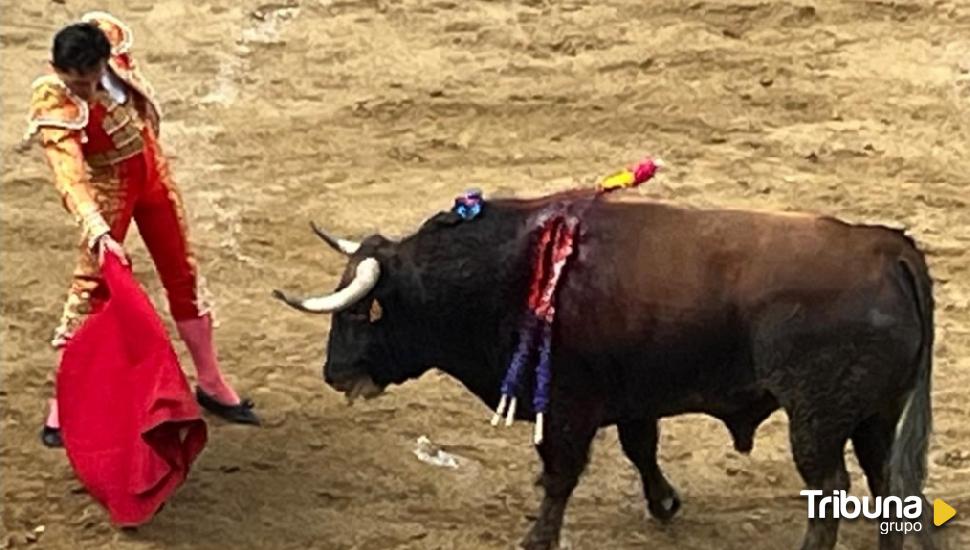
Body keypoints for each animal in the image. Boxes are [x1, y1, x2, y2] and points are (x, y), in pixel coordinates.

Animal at [270, 194, 932, 550]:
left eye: (360, 312)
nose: (334, 374)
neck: (505, 272)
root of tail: (887, 247)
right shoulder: (634, 396)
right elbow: (641, 448)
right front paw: (665, 503)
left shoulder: (566, 406)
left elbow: (561, 474)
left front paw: (537, 537)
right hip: (874, 415)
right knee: (883, 480)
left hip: (816, 420)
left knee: (832, 486)